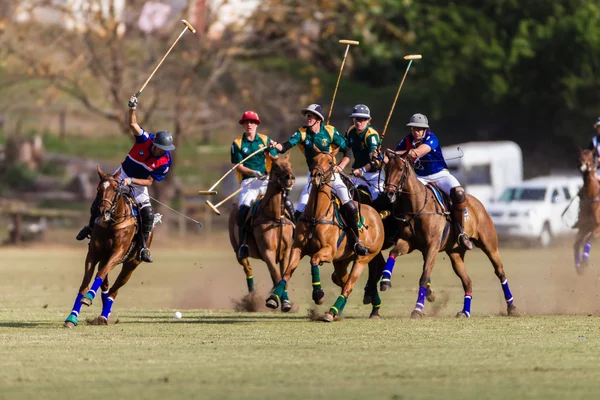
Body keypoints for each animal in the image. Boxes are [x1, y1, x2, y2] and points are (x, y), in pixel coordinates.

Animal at [63, 166, 151, 328]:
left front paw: (88, 297)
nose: (104, 211)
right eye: (98, 189)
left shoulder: (118, 253)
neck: (111, 223)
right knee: (106, 286)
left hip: (131, 264)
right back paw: (103, 315)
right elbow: (85, 283)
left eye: (116, 189)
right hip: (104, 258)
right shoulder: (93, 254)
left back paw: (104, 316)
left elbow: (100, 274)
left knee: (113, 290)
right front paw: (72, 317)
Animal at [229, 153, 296, 310]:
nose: (290, 178)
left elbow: (282, 276)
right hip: (239, 252)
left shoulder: (285, 251)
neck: (275, 217)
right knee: (248, 269)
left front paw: (285, 302)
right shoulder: (267, 250)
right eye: (276, 165)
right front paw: (273, 300)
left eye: (290, 164)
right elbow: (277, 276)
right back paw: (252, 298)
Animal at [266, 148, 384, 322]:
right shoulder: (297, 248)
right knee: (344, 282)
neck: (316, 214)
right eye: (314, 160)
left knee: (348, 285)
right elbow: (287, 272)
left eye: (330, 162)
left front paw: (318, 294)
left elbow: (314, 259)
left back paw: (332, 312)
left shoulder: (329, 251)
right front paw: (273, 298)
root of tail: (376, 215)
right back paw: (365, 305)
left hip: (363, 258)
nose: (316, 175)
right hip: (342, 261)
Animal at [384, 150, 520, 318]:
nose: (389, 193)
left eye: (401, 169)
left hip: (490, 245)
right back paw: (465, 312)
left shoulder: (433, 245)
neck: (417, 206)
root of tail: (479, 204)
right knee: (467, 281)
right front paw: (385, 281)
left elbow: (423, 277)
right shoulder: (407, 242)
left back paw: (512, 307)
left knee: (500, 272)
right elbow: (393, 253)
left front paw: (417, 309)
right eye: (386, 168)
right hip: (455, 253)